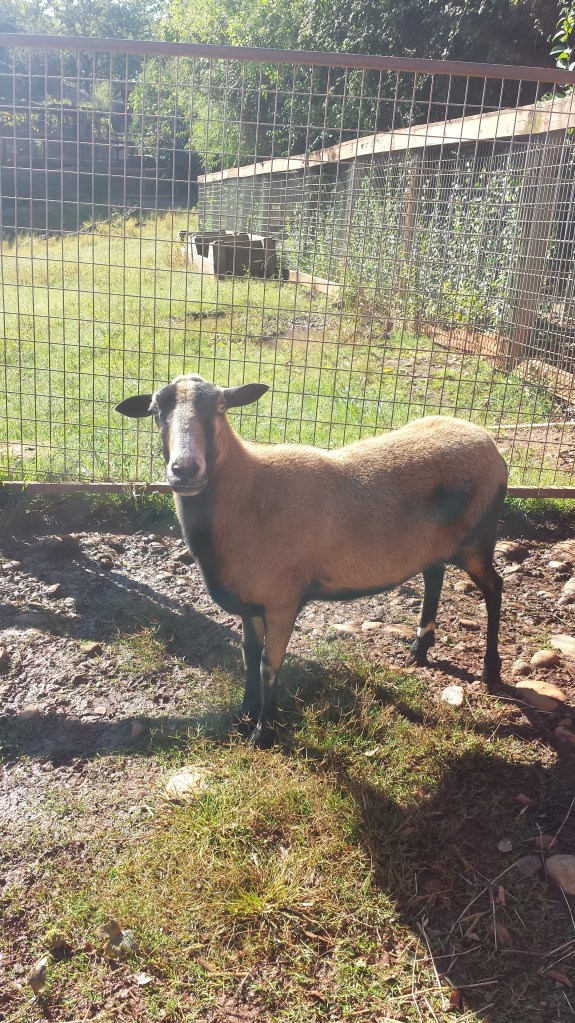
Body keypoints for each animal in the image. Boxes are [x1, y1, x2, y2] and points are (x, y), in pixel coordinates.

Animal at [116, 373, 508, 747]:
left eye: (221, 406)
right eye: (155, 410)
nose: (184, 470)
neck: (248, 493)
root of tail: (488, 441)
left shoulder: (281, 601)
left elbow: (268, 665)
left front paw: (264, 733)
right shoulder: (251, 604)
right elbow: (247, 657)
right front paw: (243, 714)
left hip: (477, 541)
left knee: (494, 588)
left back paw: (491, 670)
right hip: (435, 543)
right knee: (434, 575)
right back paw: (419, 647)